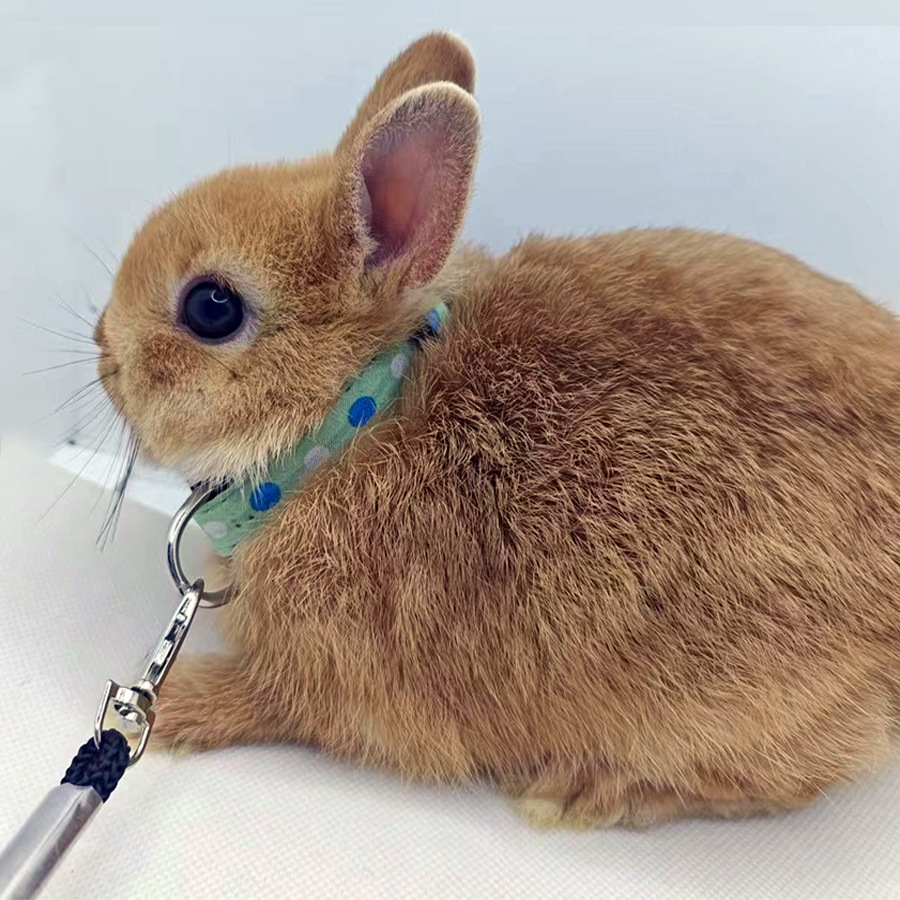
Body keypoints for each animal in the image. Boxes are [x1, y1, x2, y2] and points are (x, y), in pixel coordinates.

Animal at [93, 31, 900, 829]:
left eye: (212, 308)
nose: (102, 350)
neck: (354, 417)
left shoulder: (329, 682)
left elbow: (268, 703)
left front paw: (169, 708)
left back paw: (580, 790)